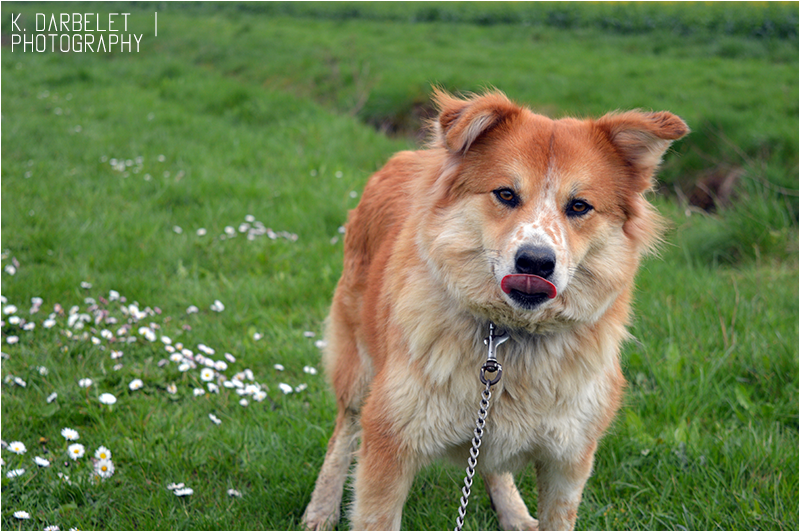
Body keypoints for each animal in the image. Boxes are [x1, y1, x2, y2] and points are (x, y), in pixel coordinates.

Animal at [300, 89, 688, 528]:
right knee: (343, 430)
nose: (535, 262)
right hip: (357, 364)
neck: (508, 336)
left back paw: (513, 512)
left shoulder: (568, 463)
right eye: (505, 194)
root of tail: (403, 157)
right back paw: (322, 507)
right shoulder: (390, 445)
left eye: (579, 206)